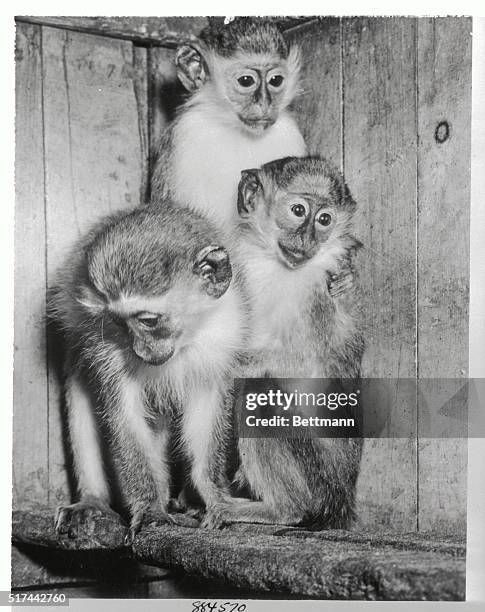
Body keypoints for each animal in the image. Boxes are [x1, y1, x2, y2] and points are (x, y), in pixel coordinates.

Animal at [49, 204, 246, 540]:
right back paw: (93, 500)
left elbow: (205, 411)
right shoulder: (106, 346)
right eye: (117, 322)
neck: (185, 339)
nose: (140, 351)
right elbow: (124, 416)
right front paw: (151, 509)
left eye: (149, 321)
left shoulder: (224, 334)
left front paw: (212, 495)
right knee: (80, 383)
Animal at [202, 157, 364, 532]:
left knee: (261, 393)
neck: (271, 263)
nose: (306, 238)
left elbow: (313, 361)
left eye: (324, 220)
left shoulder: (318, 286)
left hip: (320, 479)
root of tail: (343, 499)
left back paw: (281, 510)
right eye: (298, 210)